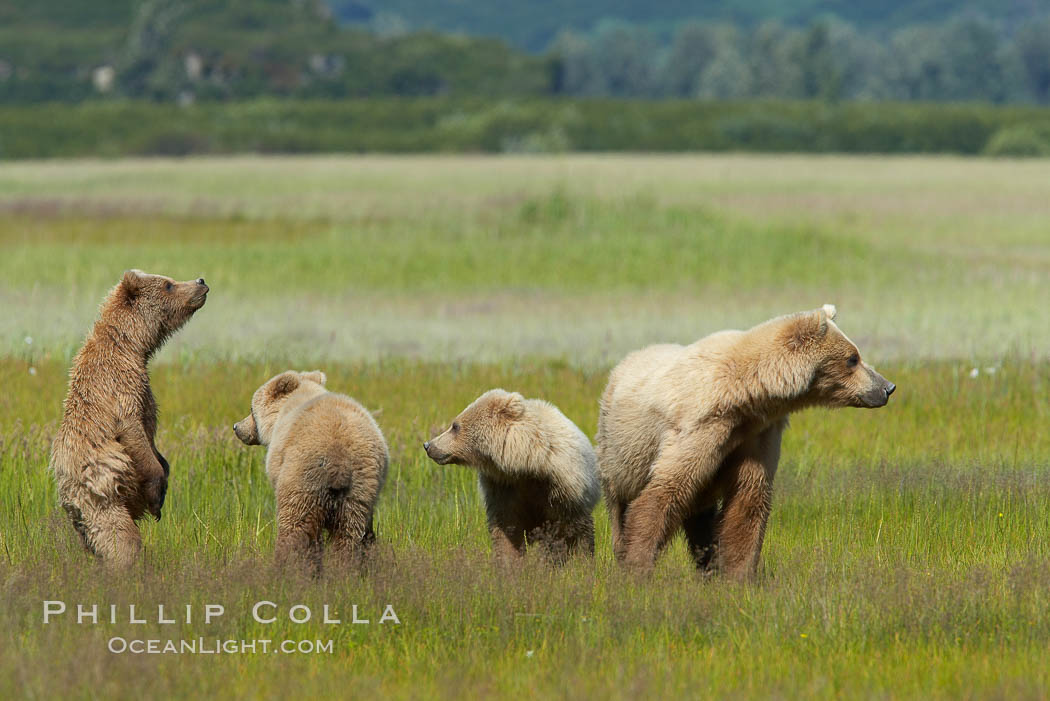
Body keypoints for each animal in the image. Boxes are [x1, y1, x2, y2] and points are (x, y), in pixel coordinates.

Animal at [48, 270, 208, 566]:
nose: (200, 281)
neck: (132, 347)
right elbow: (133, 430)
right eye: (168, 284)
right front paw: (157, 492)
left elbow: (151, 437)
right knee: (121, 539)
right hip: (100, 499)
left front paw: (165, 472)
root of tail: (68, 500)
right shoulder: (120, 383)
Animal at [234, 369, 390, 570]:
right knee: (350, 533)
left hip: (302, 478)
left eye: (251, 410)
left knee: (294, 526)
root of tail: (338, 458)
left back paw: (285, 565)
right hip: (360, 487)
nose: (237, 427)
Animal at [419, 388, 600, 562]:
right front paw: (509, 562)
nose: (428, 445)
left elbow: (560, 533)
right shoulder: (502, 487)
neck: (526, 464)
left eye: (455, 426)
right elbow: (507, 530)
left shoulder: (559, 491)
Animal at [600, 306, 894, 579]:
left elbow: (748, 501)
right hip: (619, 451)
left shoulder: (757, 434)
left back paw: (707, 564)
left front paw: (738, 576)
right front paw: (637, 566)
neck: (745, 398)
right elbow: (665, 490)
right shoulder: (700, 427)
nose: (887, 387)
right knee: (620, 504)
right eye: (853, 358)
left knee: (700, 515)